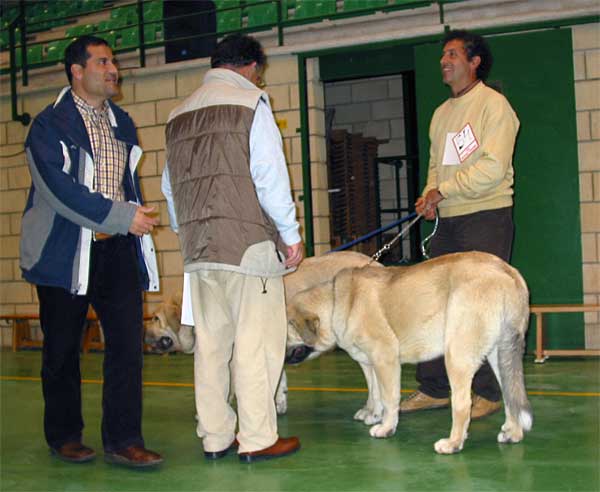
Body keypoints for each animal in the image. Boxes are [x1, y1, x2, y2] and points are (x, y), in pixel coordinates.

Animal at [288, 252, 536, 456]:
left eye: (285, 332)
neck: (338, 302)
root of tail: (507, 272)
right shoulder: (371, 362)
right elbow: (375, 392)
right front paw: (374, 416)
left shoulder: (385, 358)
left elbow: (388, 398)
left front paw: (386, 427)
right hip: (501, 355)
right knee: (510, 395)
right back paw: (513, 433)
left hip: (457, 357)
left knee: (462, 404)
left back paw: (453, 443)